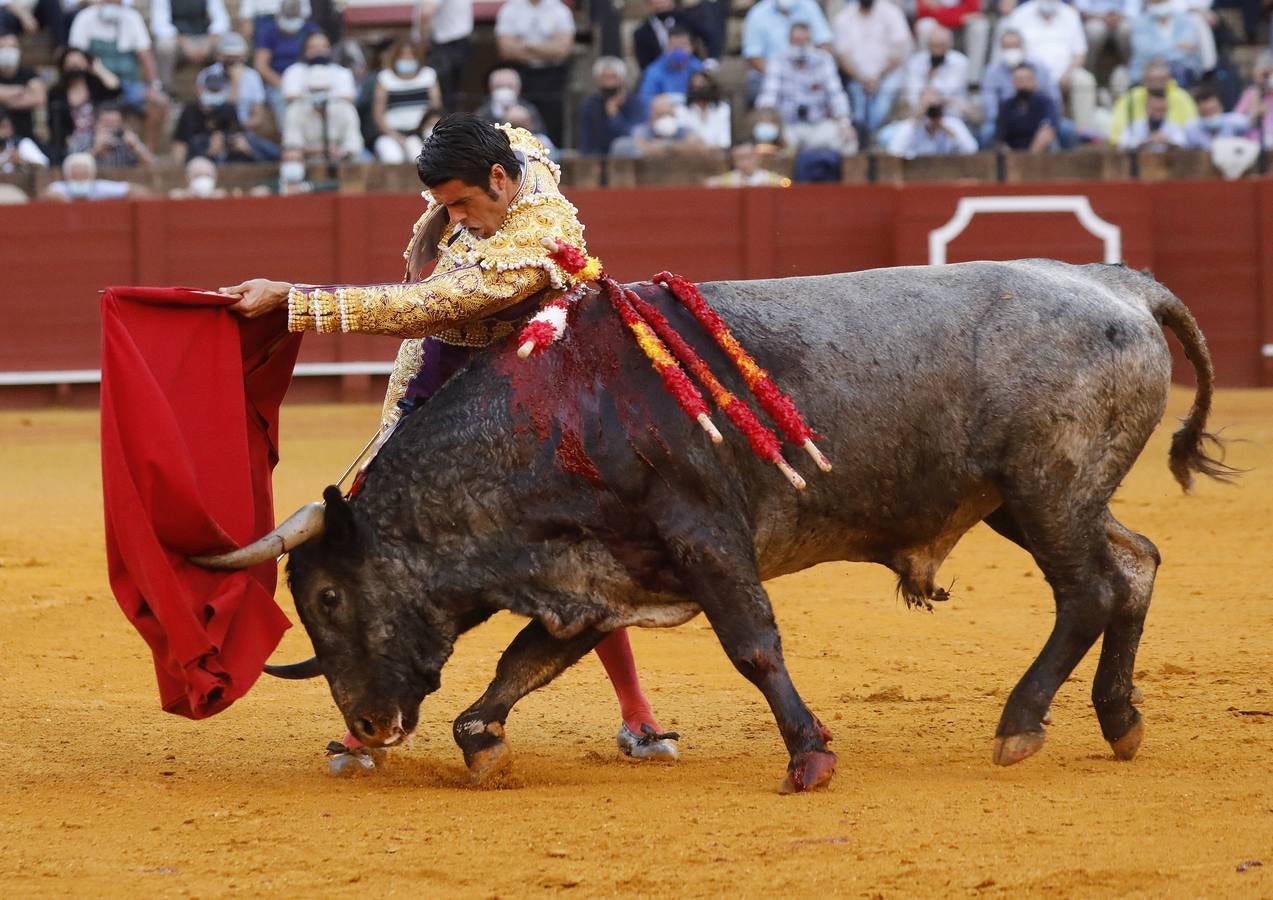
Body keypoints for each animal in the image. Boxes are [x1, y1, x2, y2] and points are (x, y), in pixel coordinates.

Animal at [193, 257, 1227, 794]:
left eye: (330, 596)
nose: (365, 724)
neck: (562, 412)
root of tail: (1118, 284)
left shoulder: (704, 538)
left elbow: (752, 644)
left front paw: (809, 755)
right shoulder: (601, 572)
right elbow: (527, 659)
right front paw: (481, 740)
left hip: (1046, 494)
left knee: (1089, 589)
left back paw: (1020, 726)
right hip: (1041, 504)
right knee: (1133, 566)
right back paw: (1118, 720)